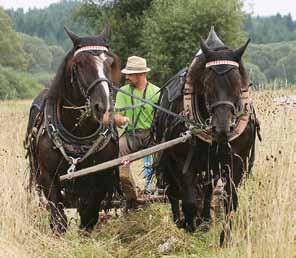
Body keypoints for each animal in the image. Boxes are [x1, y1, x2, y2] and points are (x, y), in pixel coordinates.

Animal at [24, 26, 121, 234]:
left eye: (110, 62)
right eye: (80, 64)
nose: (104, 106)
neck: (78, 135)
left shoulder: (100, 177)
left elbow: (89, 215)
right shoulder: (48, 177)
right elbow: (58, 217)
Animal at [154, 27, 260, 244]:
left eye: (238, 84)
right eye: (207, 84)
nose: (222, 128)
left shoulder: (236, 162)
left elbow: (230, 201)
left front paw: (224, 239)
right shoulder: (183, 163)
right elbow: (189, 201)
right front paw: (190, 228)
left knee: (208, 189)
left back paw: (204, 221)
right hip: (170, 160)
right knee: (173, 191)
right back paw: (182, 221)